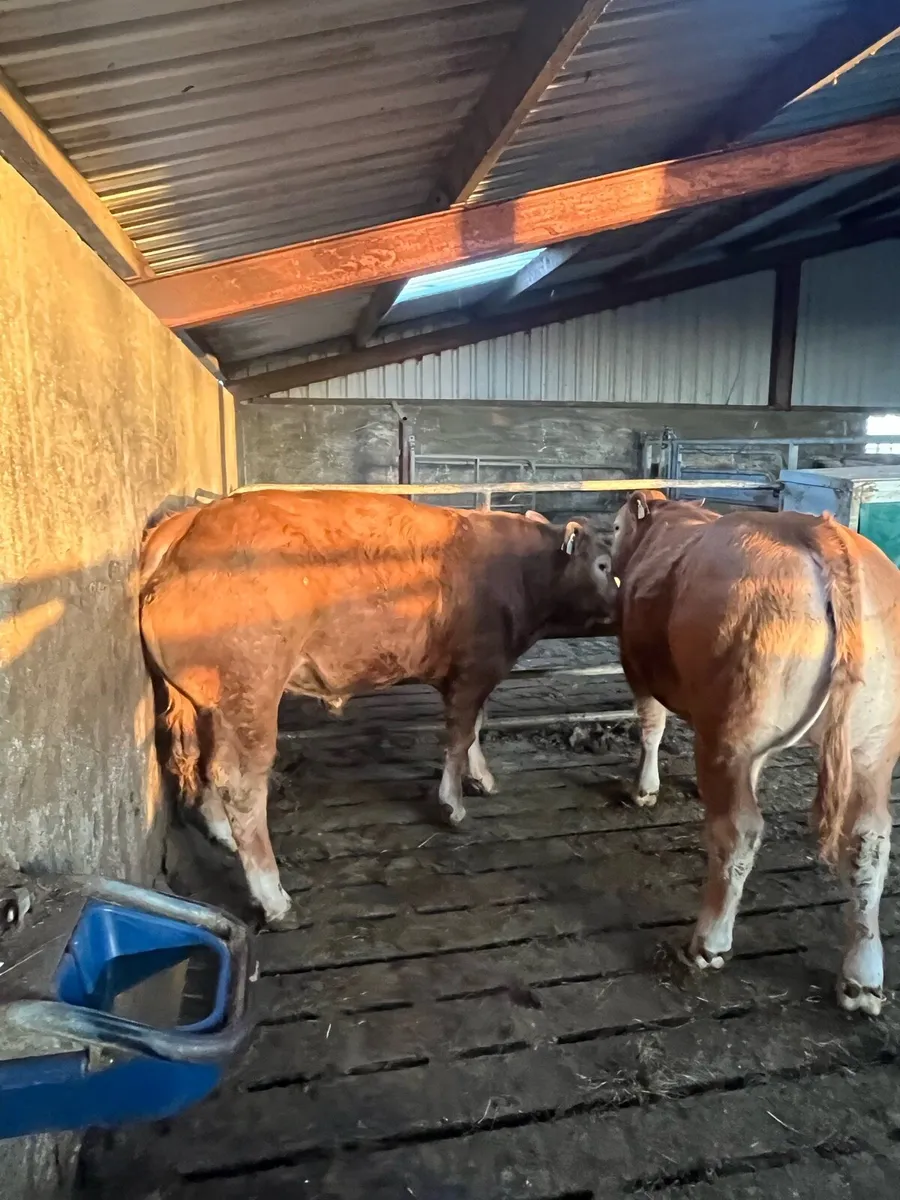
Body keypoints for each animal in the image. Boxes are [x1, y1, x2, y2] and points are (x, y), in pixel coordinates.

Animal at [140, 488, 618, 929]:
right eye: (603, 565)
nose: (621, 606)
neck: (520, 573)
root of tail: (188, 522)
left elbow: (476, 727)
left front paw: (481, 778)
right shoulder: (474, 668)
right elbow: (461, 732)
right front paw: (453, 804)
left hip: (207, 702)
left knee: (205, 762)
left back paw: (221, 833)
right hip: (251, 689)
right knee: (240, 783)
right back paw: (273, 897)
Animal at [611, 489, 900, 1015]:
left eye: (617, 528)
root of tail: (823, 532)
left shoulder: (638, 669)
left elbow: (651, 726)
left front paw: (645, 789)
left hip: (736, 731)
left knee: (739, 831)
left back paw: (708, 942)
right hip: (873, 746)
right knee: (869, 844)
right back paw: (862, 977)